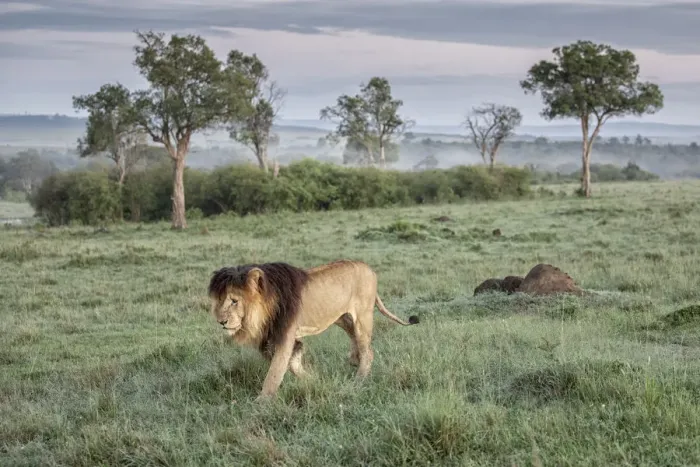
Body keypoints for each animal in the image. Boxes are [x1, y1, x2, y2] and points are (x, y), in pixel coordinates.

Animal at [207, 259, 419, 400]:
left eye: (234, 301)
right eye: (220, 300)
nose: (221, 322)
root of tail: (370, 269)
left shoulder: (284, 335)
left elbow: (274, 374)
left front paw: (261, 403)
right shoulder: (271, 338)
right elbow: (292, 363)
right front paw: (313, 379)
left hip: (362, 316)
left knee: (368, 350)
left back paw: (359, 379)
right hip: (341, 317)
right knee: (355, 337)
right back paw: (353, 358)